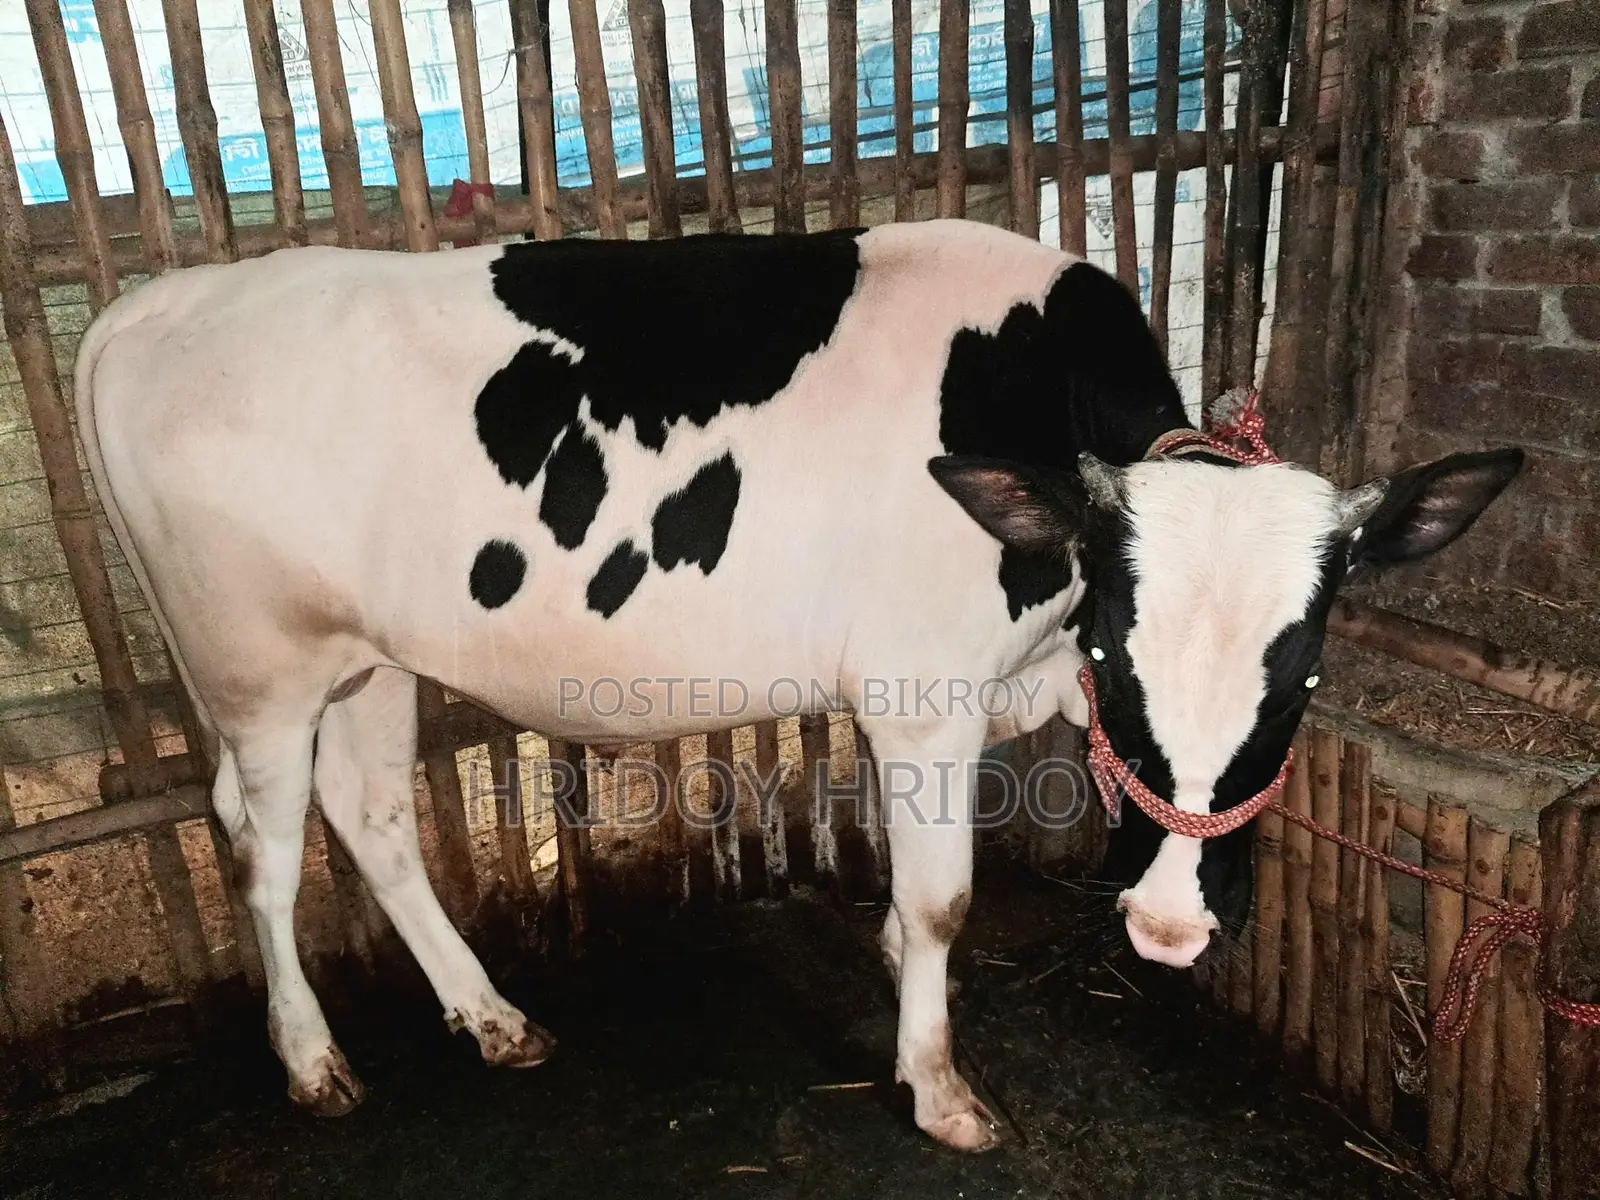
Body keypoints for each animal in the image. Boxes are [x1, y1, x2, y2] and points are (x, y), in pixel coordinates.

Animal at [75, 218, 1521, 1152]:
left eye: (1306, 670)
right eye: (1119, 651)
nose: (1167, 928)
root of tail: (157, 303)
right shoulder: (921, 691)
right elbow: (943, 901)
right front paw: (938, 1088)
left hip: (366, 658)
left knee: (371, 821)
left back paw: (491, 1019)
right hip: (254, 665)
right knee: (260, 850)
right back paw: (314, 1062)